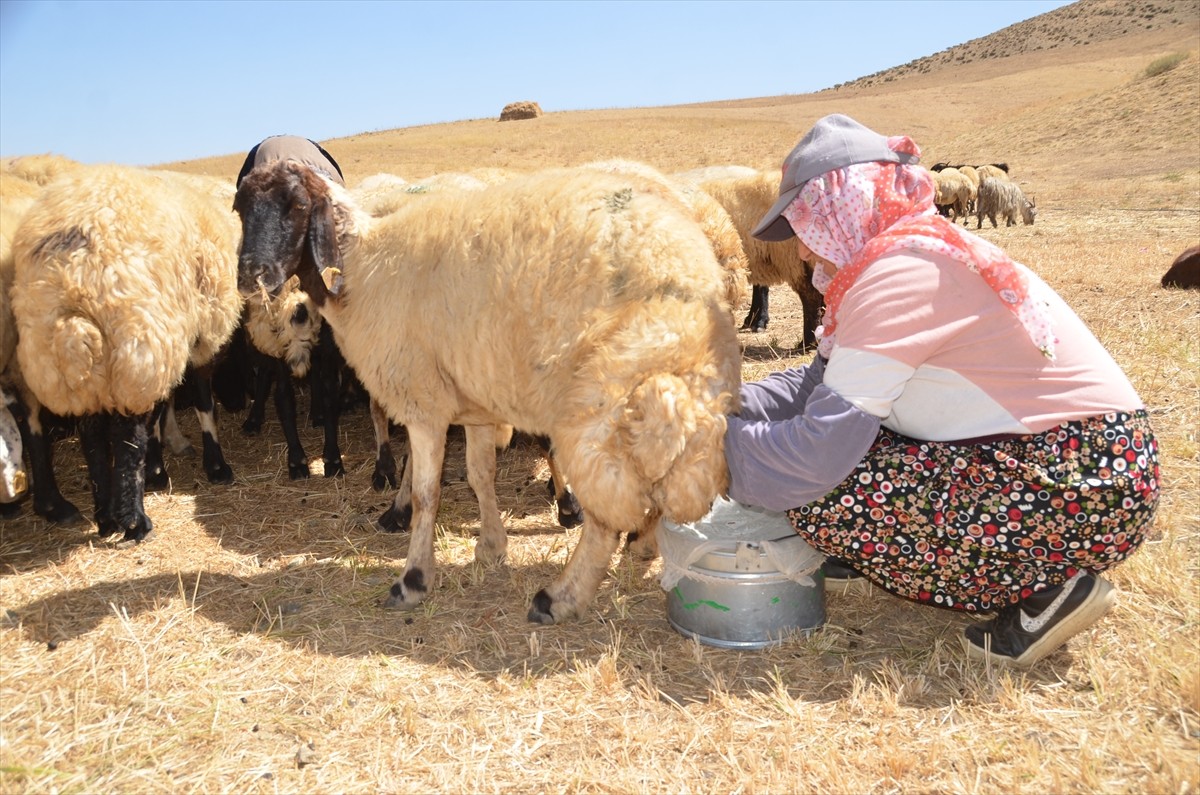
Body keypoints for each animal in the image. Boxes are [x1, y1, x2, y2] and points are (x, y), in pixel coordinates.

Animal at [12, 165, 243, 545]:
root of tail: (71, 277)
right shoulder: (199, 332)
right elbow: (201, 402)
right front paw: (213, 466)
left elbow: (166, 406)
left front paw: (160, 465)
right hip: (135, 339)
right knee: (127, 436)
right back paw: (134, 521)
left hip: (78, 361)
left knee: (92, 436)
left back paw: (106, 517)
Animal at [231, 160, 739, 624]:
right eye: (240, 209)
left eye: (297, 206)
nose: (251, 276)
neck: (363, 267)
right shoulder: (474, 405)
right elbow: (480, 476)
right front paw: (491, 548)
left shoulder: (424, 404)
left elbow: (426, 495)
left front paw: (413, 580)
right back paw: (640, 547)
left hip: (602, 403)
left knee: (605, 518)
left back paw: (559, 597)